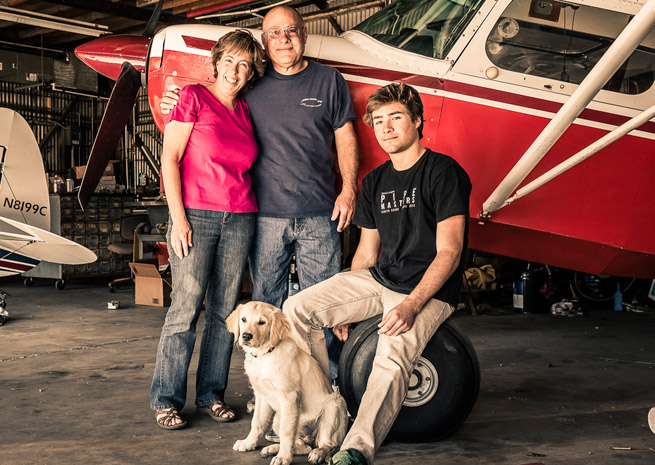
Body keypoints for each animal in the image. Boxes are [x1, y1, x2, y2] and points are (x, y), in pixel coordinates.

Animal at [227, 300, 348, 464]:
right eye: (243, 319)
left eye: (262, 322)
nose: (246, 336)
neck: (266, 355)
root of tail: (311, 438)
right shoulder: (261, 395)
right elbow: (257, 422)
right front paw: (248, 443)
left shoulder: (289, 397)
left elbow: (286, 432)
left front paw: (283, 457)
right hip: (278, 419)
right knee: (303, 445)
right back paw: (273, 449)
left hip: (333, 406)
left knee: (326, 444)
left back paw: (317, 453)